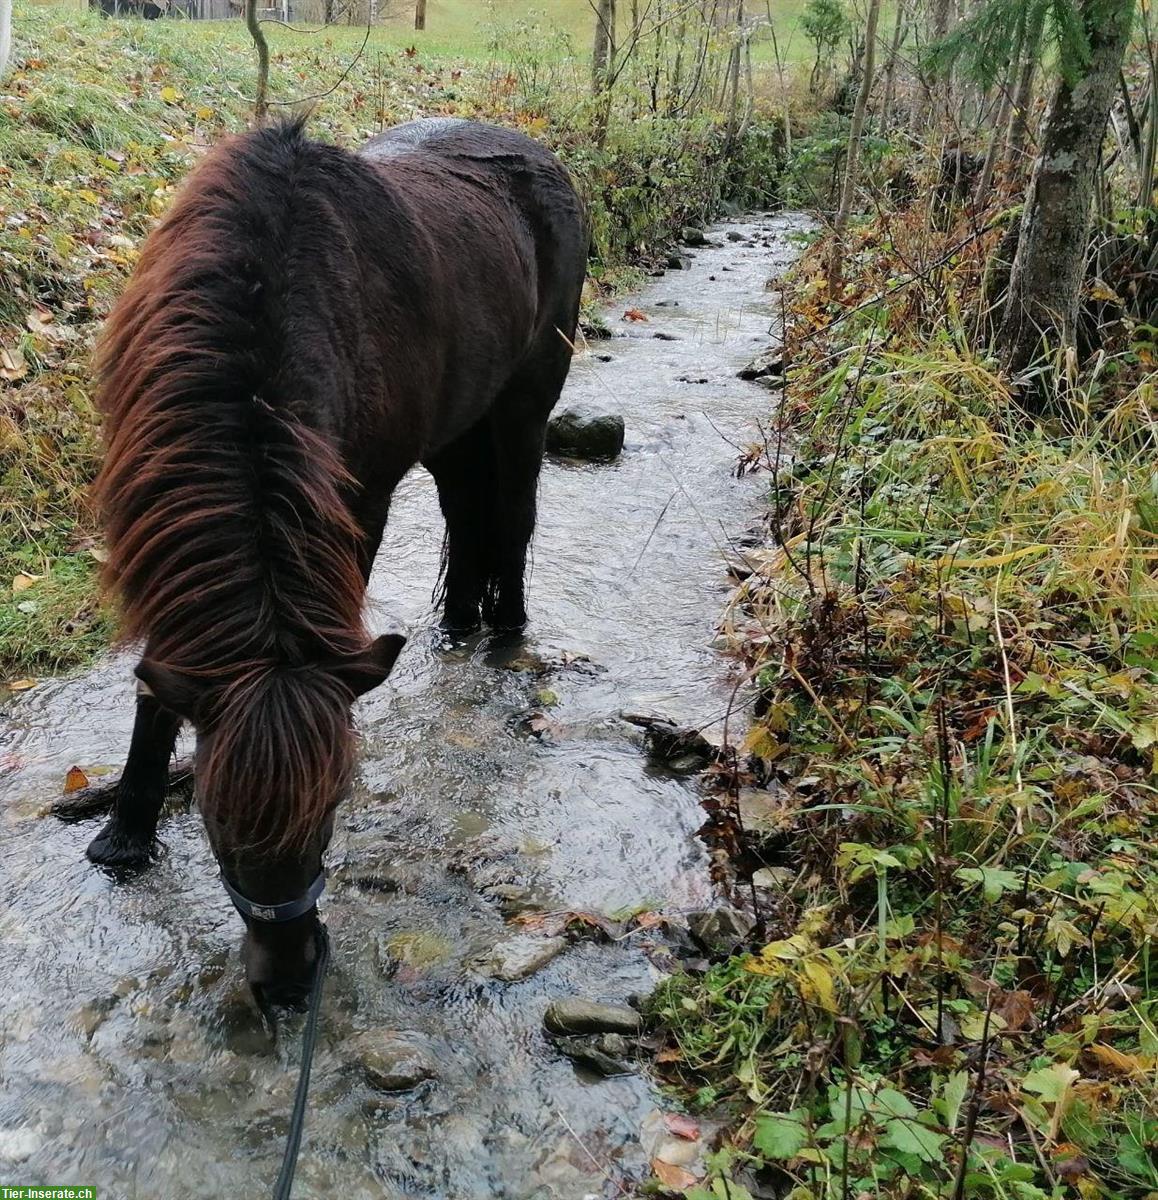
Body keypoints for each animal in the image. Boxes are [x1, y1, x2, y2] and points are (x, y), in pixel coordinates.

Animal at [88, 117, 588, 1008]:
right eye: (215, 821)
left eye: (331, 811)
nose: (290, 983)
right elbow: (160, 676)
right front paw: (126, 834)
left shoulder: (361, 497)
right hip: (458, 423)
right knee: (468, 513)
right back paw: (456, 626)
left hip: (525, 406)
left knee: (512, 515)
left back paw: (503, 635)